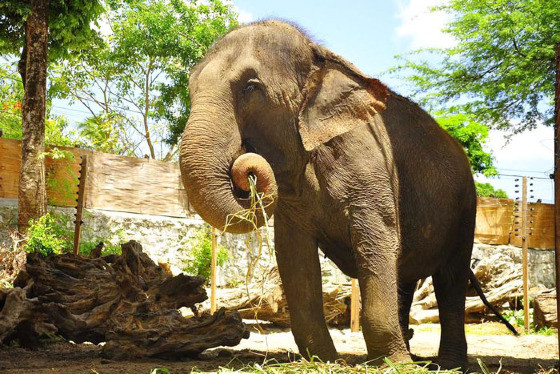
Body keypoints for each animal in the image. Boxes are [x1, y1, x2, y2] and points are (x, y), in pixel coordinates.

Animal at [180, 20, 476, 368]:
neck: (320, 56)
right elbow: (294, 257)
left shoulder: (370, 172)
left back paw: (447, 364)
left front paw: (397, 367)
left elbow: (378, 242)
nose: (245, 168)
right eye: (190, 88)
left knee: (451, 282)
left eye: (251, 87)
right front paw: (325, 360)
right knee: (405, 280)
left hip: (465, 209)